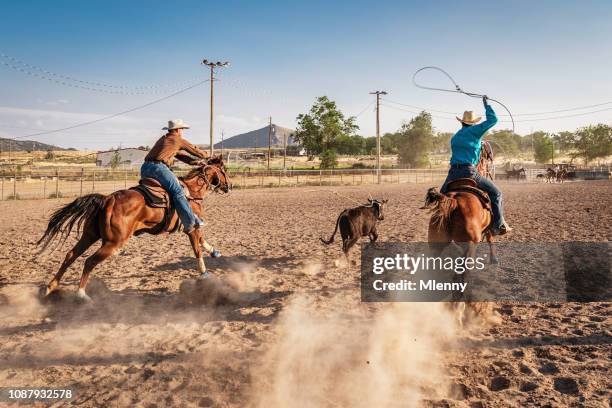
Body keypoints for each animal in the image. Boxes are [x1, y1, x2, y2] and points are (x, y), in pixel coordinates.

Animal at [38, 156, 231, 300]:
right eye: (224, 171)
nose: (229, 186)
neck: (192, 191)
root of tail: (108, 199)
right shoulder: (191, 226)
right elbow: (197, 248)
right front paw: (205, 274)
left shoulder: (194, 226)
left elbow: (202, 241)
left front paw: (214, 251)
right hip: (113, 242)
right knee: (89, 261)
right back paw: (81, 294)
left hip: (90, 235)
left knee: (71, 255)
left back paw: (50, 287)